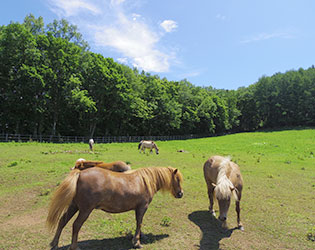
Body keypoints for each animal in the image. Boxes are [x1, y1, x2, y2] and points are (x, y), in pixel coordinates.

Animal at [46, 165, 184, 249]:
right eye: (177, 179)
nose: (181, 194)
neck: (145, 181)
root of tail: (79, 174)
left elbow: (138, 223)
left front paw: (140, 237)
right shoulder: (142, 207)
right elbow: (139, 223)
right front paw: (137, 242)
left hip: (74, 206)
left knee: (62, 221)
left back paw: (54, 244)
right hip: (85, 210)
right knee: (76, 225)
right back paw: (74, 247)